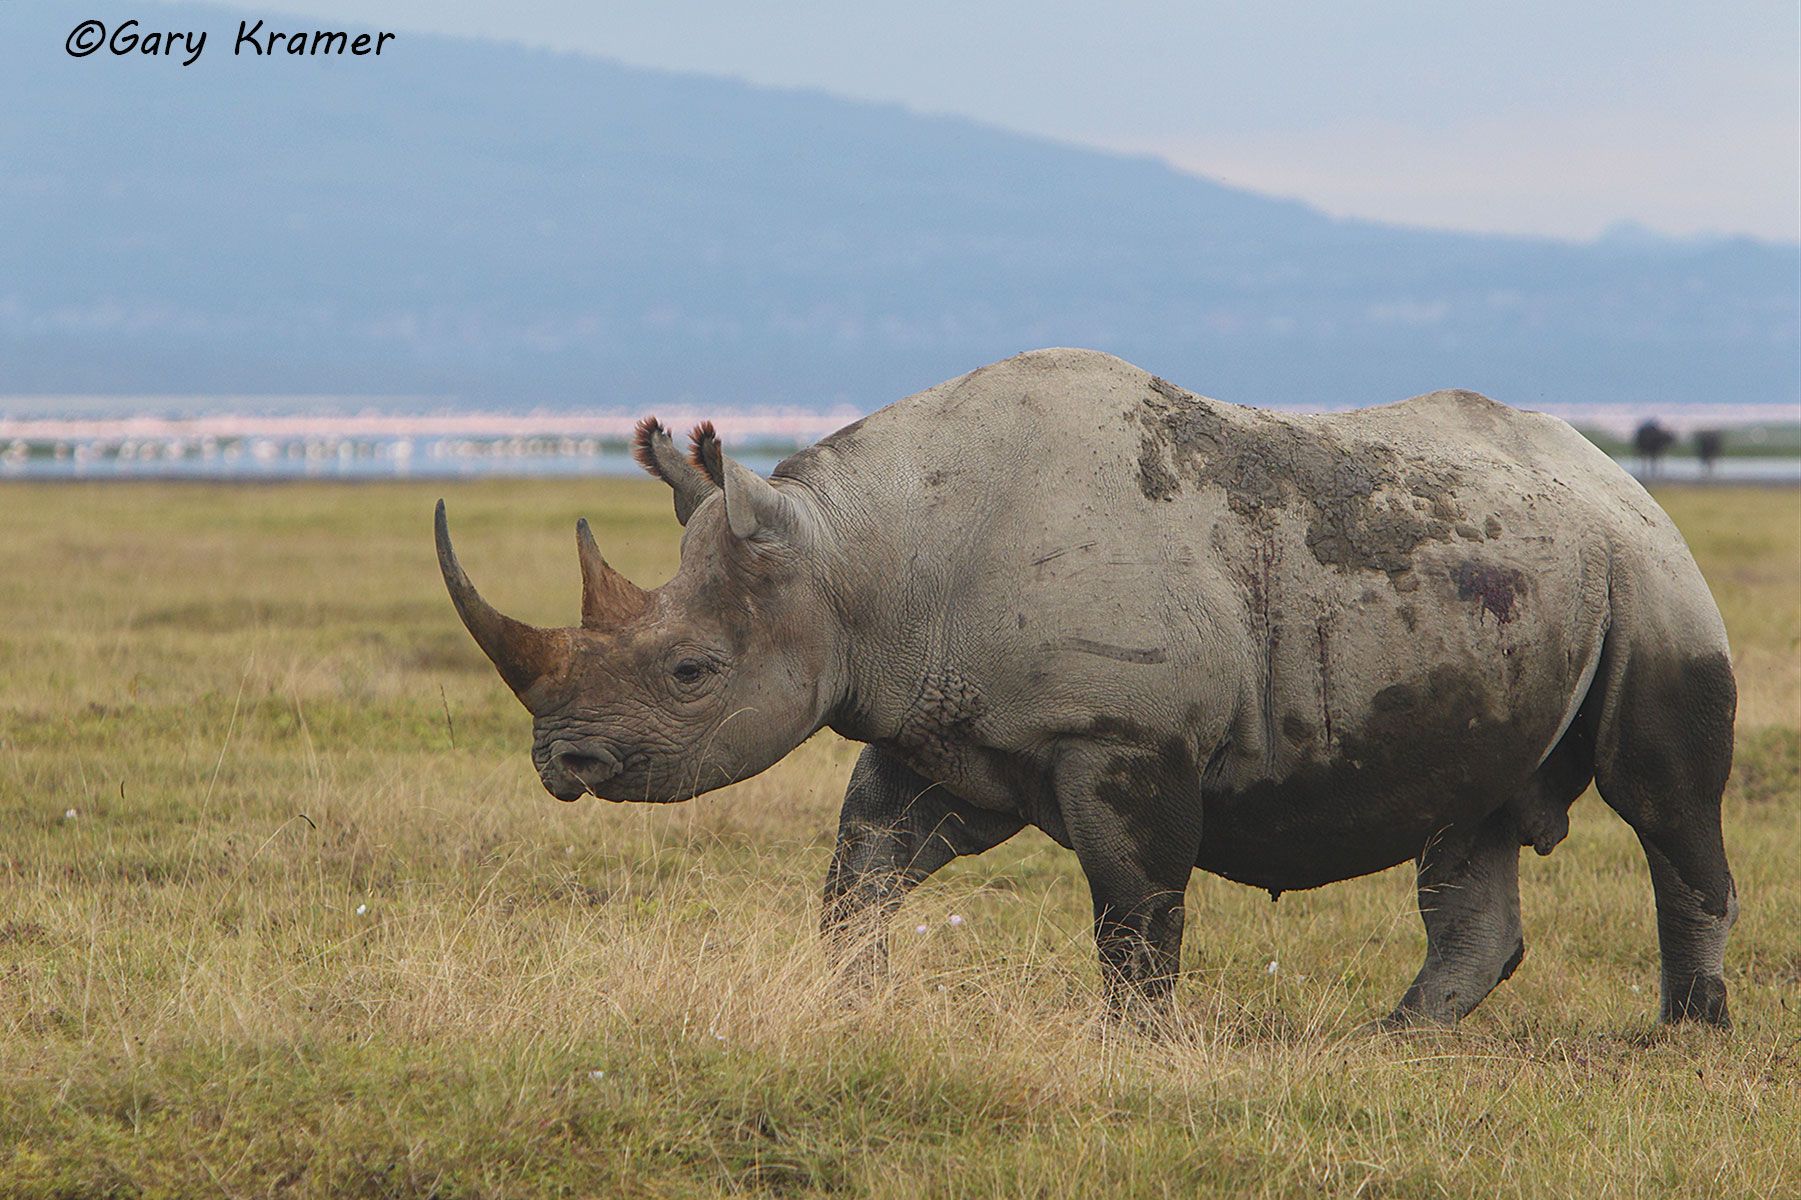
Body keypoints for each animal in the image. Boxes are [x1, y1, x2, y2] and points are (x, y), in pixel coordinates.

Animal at [435, 349, 1738, 1029]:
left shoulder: (1121, 737)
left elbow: (1134, 910)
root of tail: (1614, 476)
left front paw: (1142, 1048)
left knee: (1662, 802)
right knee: (1468, 816)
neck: (859, 559)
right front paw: (855, 1011)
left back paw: (1684, 1038)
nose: (562, 764)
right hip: (1520, 582)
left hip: (1652, 576)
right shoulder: (940, 732)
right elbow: (858, 878)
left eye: (692, 673)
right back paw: (1393, 1043)